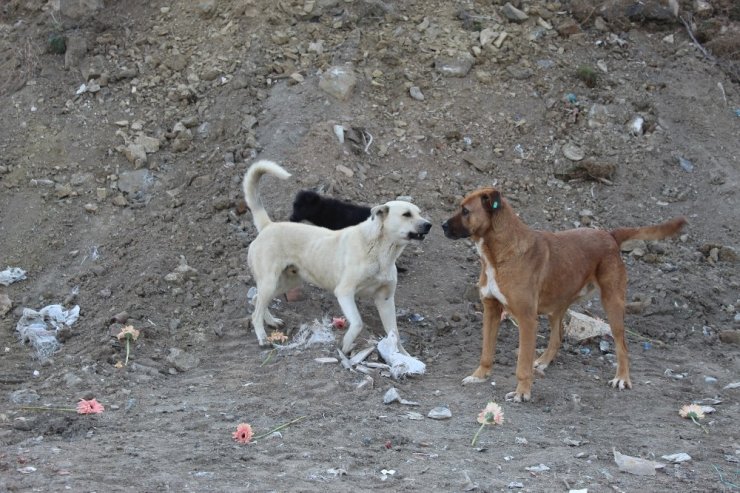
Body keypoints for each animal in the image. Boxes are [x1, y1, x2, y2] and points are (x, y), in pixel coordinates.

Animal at [243, 160, 430, 354]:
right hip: (270, 282)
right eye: (406, 214)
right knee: (255, 312)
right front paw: (345, 345)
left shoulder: (385, 299)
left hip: (288, 281)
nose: (429, 225)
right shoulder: (344, 292)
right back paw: (262, 338)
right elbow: (358, 323)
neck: (381, 251)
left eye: (419, 213)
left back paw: (271, 321)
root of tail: (268, 225)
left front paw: (404, 356)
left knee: (257, 300)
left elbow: (395, 333)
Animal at [442, 186, 684, 402]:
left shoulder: (527, 319)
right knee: (557, 337)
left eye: (465, 211)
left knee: (622, 345)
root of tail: (609, 235)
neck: (499, 254)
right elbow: (486, 352)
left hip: (612, 303)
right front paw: (479, 376)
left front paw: (522, 392)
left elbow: (522, 365)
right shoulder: (491, 311)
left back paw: (622, 378)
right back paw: (543, 360)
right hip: (557, 306)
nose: (442, 226)